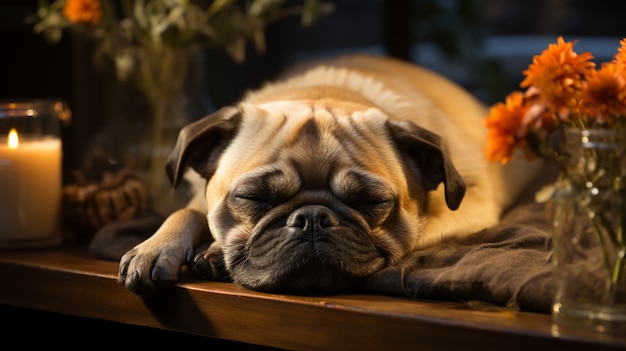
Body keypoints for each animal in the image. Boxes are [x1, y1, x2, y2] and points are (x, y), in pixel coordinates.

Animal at [117, 55, 536, 296]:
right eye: (253, 198)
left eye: (372, 202)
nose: (312, 218)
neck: (324, 93)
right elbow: (185, 211)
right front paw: (156, 247)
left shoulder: (474, 202)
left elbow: (420, 231)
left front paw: (215, 252)